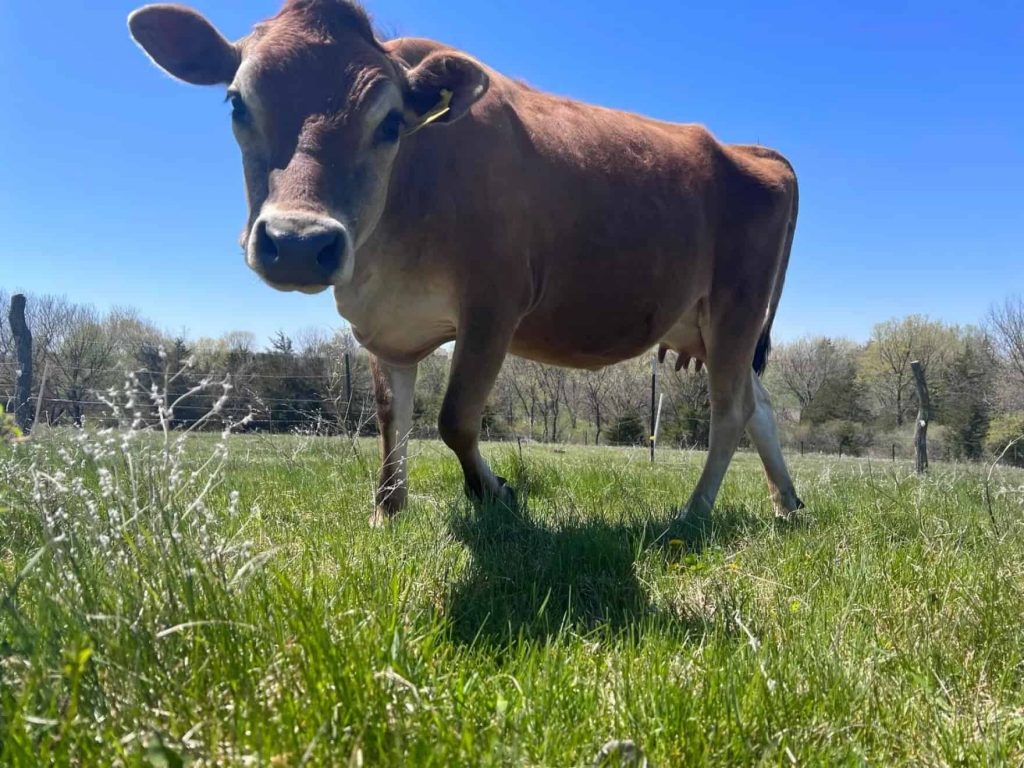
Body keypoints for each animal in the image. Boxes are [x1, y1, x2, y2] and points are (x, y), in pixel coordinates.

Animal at [128, 0, 802, 528]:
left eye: (390, 123)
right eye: (237, 104)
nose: (297, 242)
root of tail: (749, 149)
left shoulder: (494, 304)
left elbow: (455, 418)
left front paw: (495, 493)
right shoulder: (384, 325)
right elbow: (391, 417)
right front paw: (388, 509)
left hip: (738, 308)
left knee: (730, 413)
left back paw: (695, 511)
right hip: (710, 324)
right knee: (761, 408)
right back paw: (786, 504)